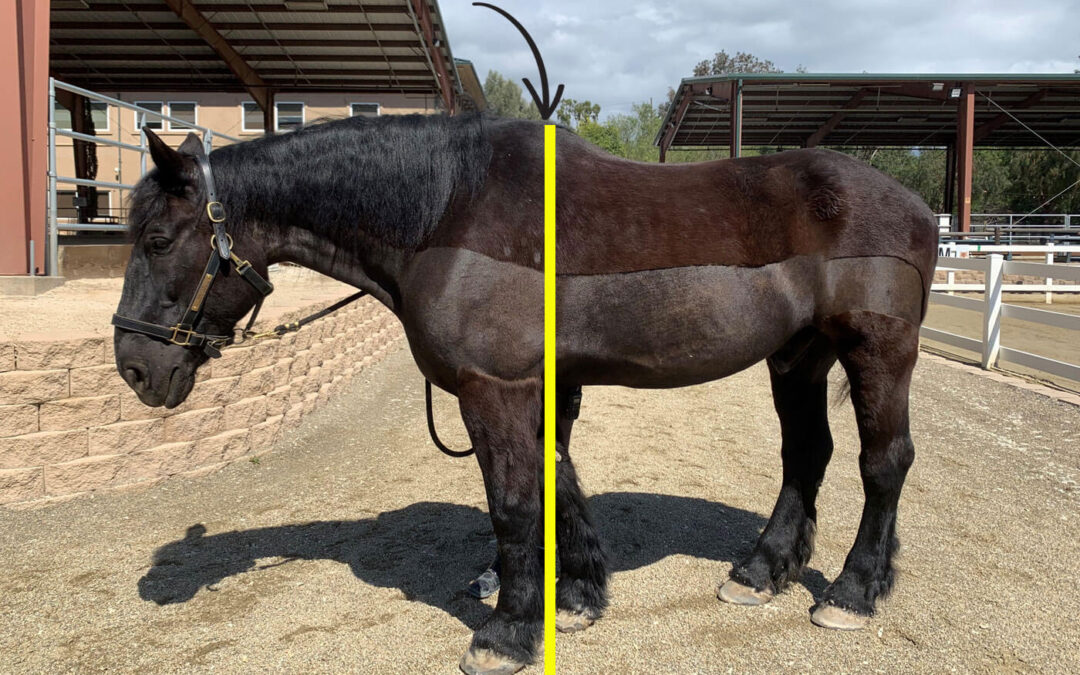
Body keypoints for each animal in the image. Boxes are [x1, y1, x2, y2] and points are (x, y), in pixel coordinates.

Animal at [112, 116, 543, 675]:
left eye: (159, 242)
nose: (133, 367)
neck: (458, 217)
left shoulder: (499, 392)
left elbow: (514, 506)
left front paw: (506, 635)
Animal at [553, 131, 938, 634]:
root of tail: (919, 208)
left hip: (878, 349)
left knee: (885, 462)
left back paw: (852, 591)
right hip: (801, 356)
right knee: (807, 451)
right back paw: (760, 571)